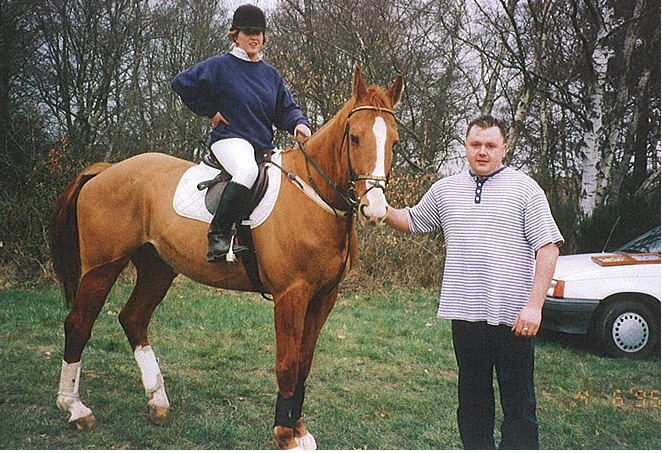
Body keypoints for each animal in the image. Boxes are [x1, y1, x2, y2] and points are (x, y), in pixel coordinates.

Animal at [49, 67, 404, 448]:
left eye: (395, 142)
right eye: (354, 137)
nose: (375, 209)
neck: (313, 194)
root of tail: (107, 169)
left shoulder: (324, 297)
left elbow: (304, 365)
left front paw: (299, 430)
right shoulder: (290, 295)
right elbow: (288, 365)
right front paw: (285, 435)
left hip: (157, 268)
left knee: (133, 319)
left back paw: (157, 403)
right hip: (102, 268)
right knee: (78, 324)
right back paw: (75, 408)